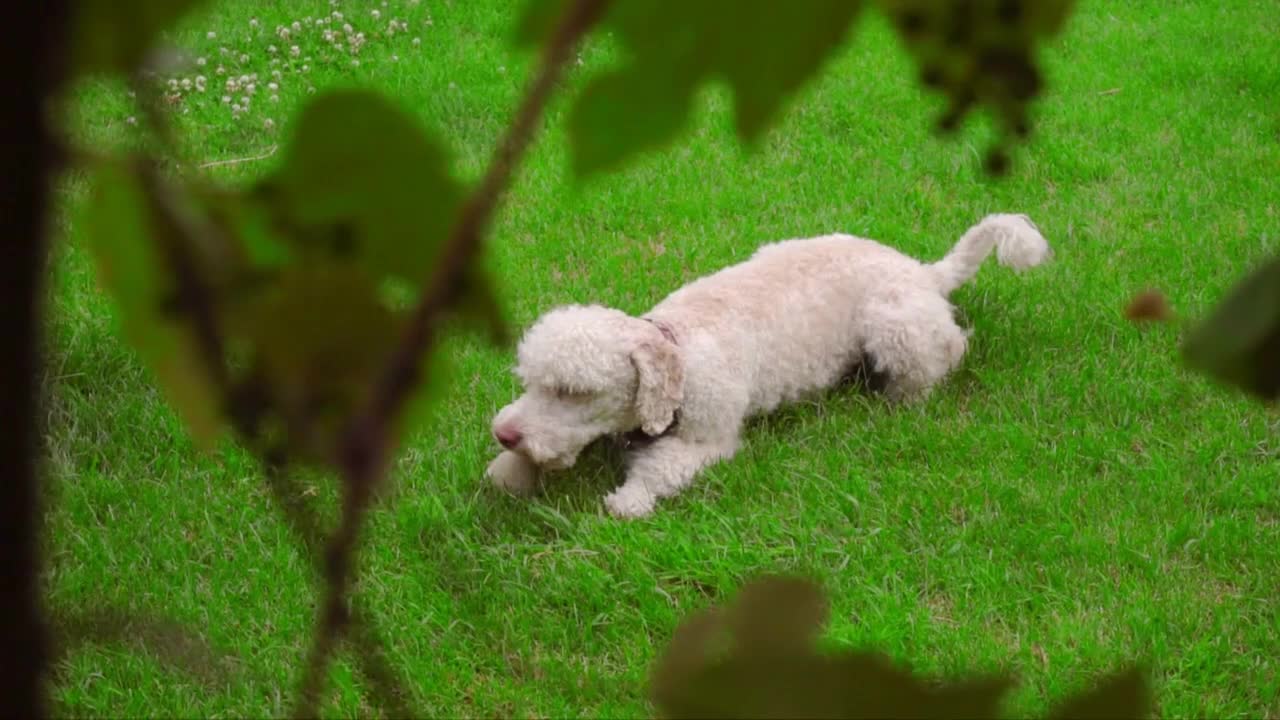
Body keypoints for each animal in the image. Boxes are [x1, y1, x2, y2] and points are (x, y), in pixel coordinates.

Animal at [483, 212, 1044, 515]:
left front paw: (629, 499)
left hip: (895, 326)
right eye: (531, 383)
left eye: (574, 391)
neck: (678, 352)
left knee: (948, 352)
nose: (504, 433)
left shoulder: (709, 440)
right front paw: (508, 472)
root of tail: (924, 272)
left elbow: (661, 468)